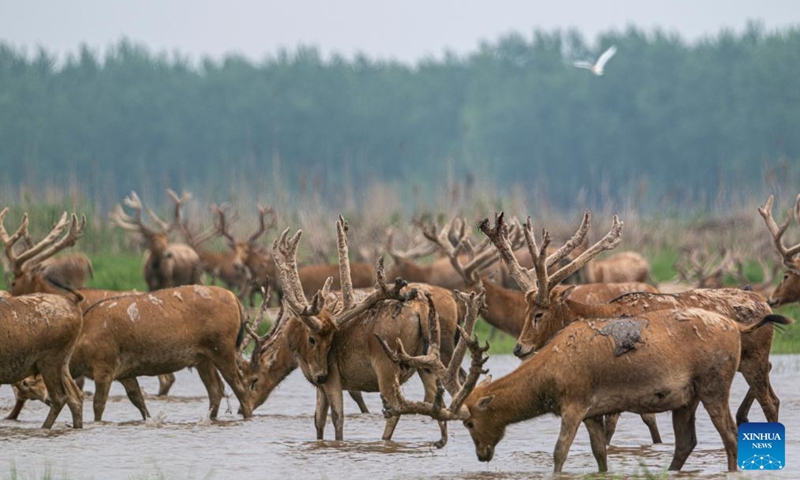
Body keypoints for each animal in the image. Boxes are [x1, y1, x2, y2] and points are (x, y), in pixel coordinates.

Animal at [381, 297, 790, 473]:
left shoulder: (574, 402)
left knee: (731, 435)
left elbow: (559, 453)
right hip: (684, 397)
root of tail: (736, 326)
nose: (482, 455)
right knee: (686, 443)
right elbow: (599, 454)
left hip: (714, 383)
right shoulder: (595, 411)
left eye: (467, 421)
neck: (548, 381)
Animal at [480, 211, 782, 435]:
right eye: (525, 309)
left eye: (539, 313)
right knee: (773, 397)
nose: (519, 348)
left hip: (754, 359)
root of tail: (764, 302)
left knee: (770, 402)